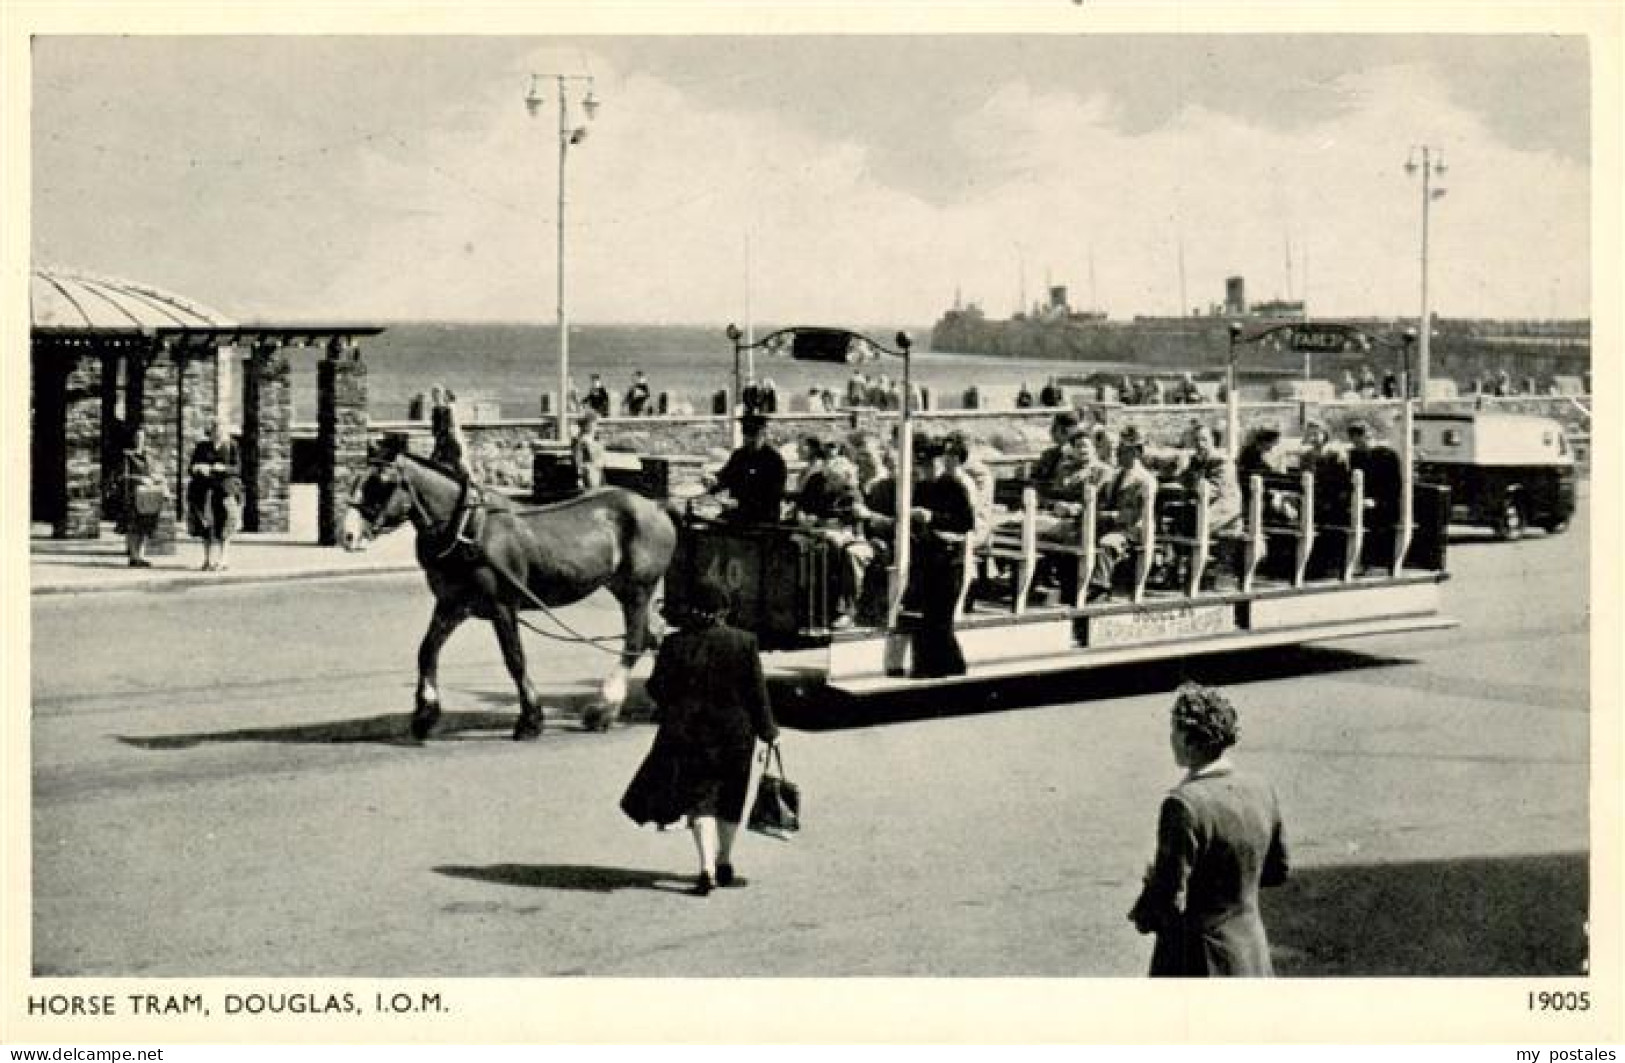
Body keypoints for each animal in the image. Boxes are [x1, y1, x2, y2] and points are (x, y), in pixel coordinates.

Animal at [339, 455, 676, 741]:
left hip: (638, 589)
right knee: (653, 635)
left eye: (381, 484)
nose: (347, 536)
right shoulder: (452, 605)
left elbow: (514, 659)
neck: (468, 529)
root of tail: (655, 506)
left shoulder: (503, 605)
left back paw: (604, 709)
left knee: (635, 641)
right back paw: (654, 702)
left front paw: (530, 720)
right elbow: (427, 651)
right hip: (622, 589)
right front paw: (425, 715)